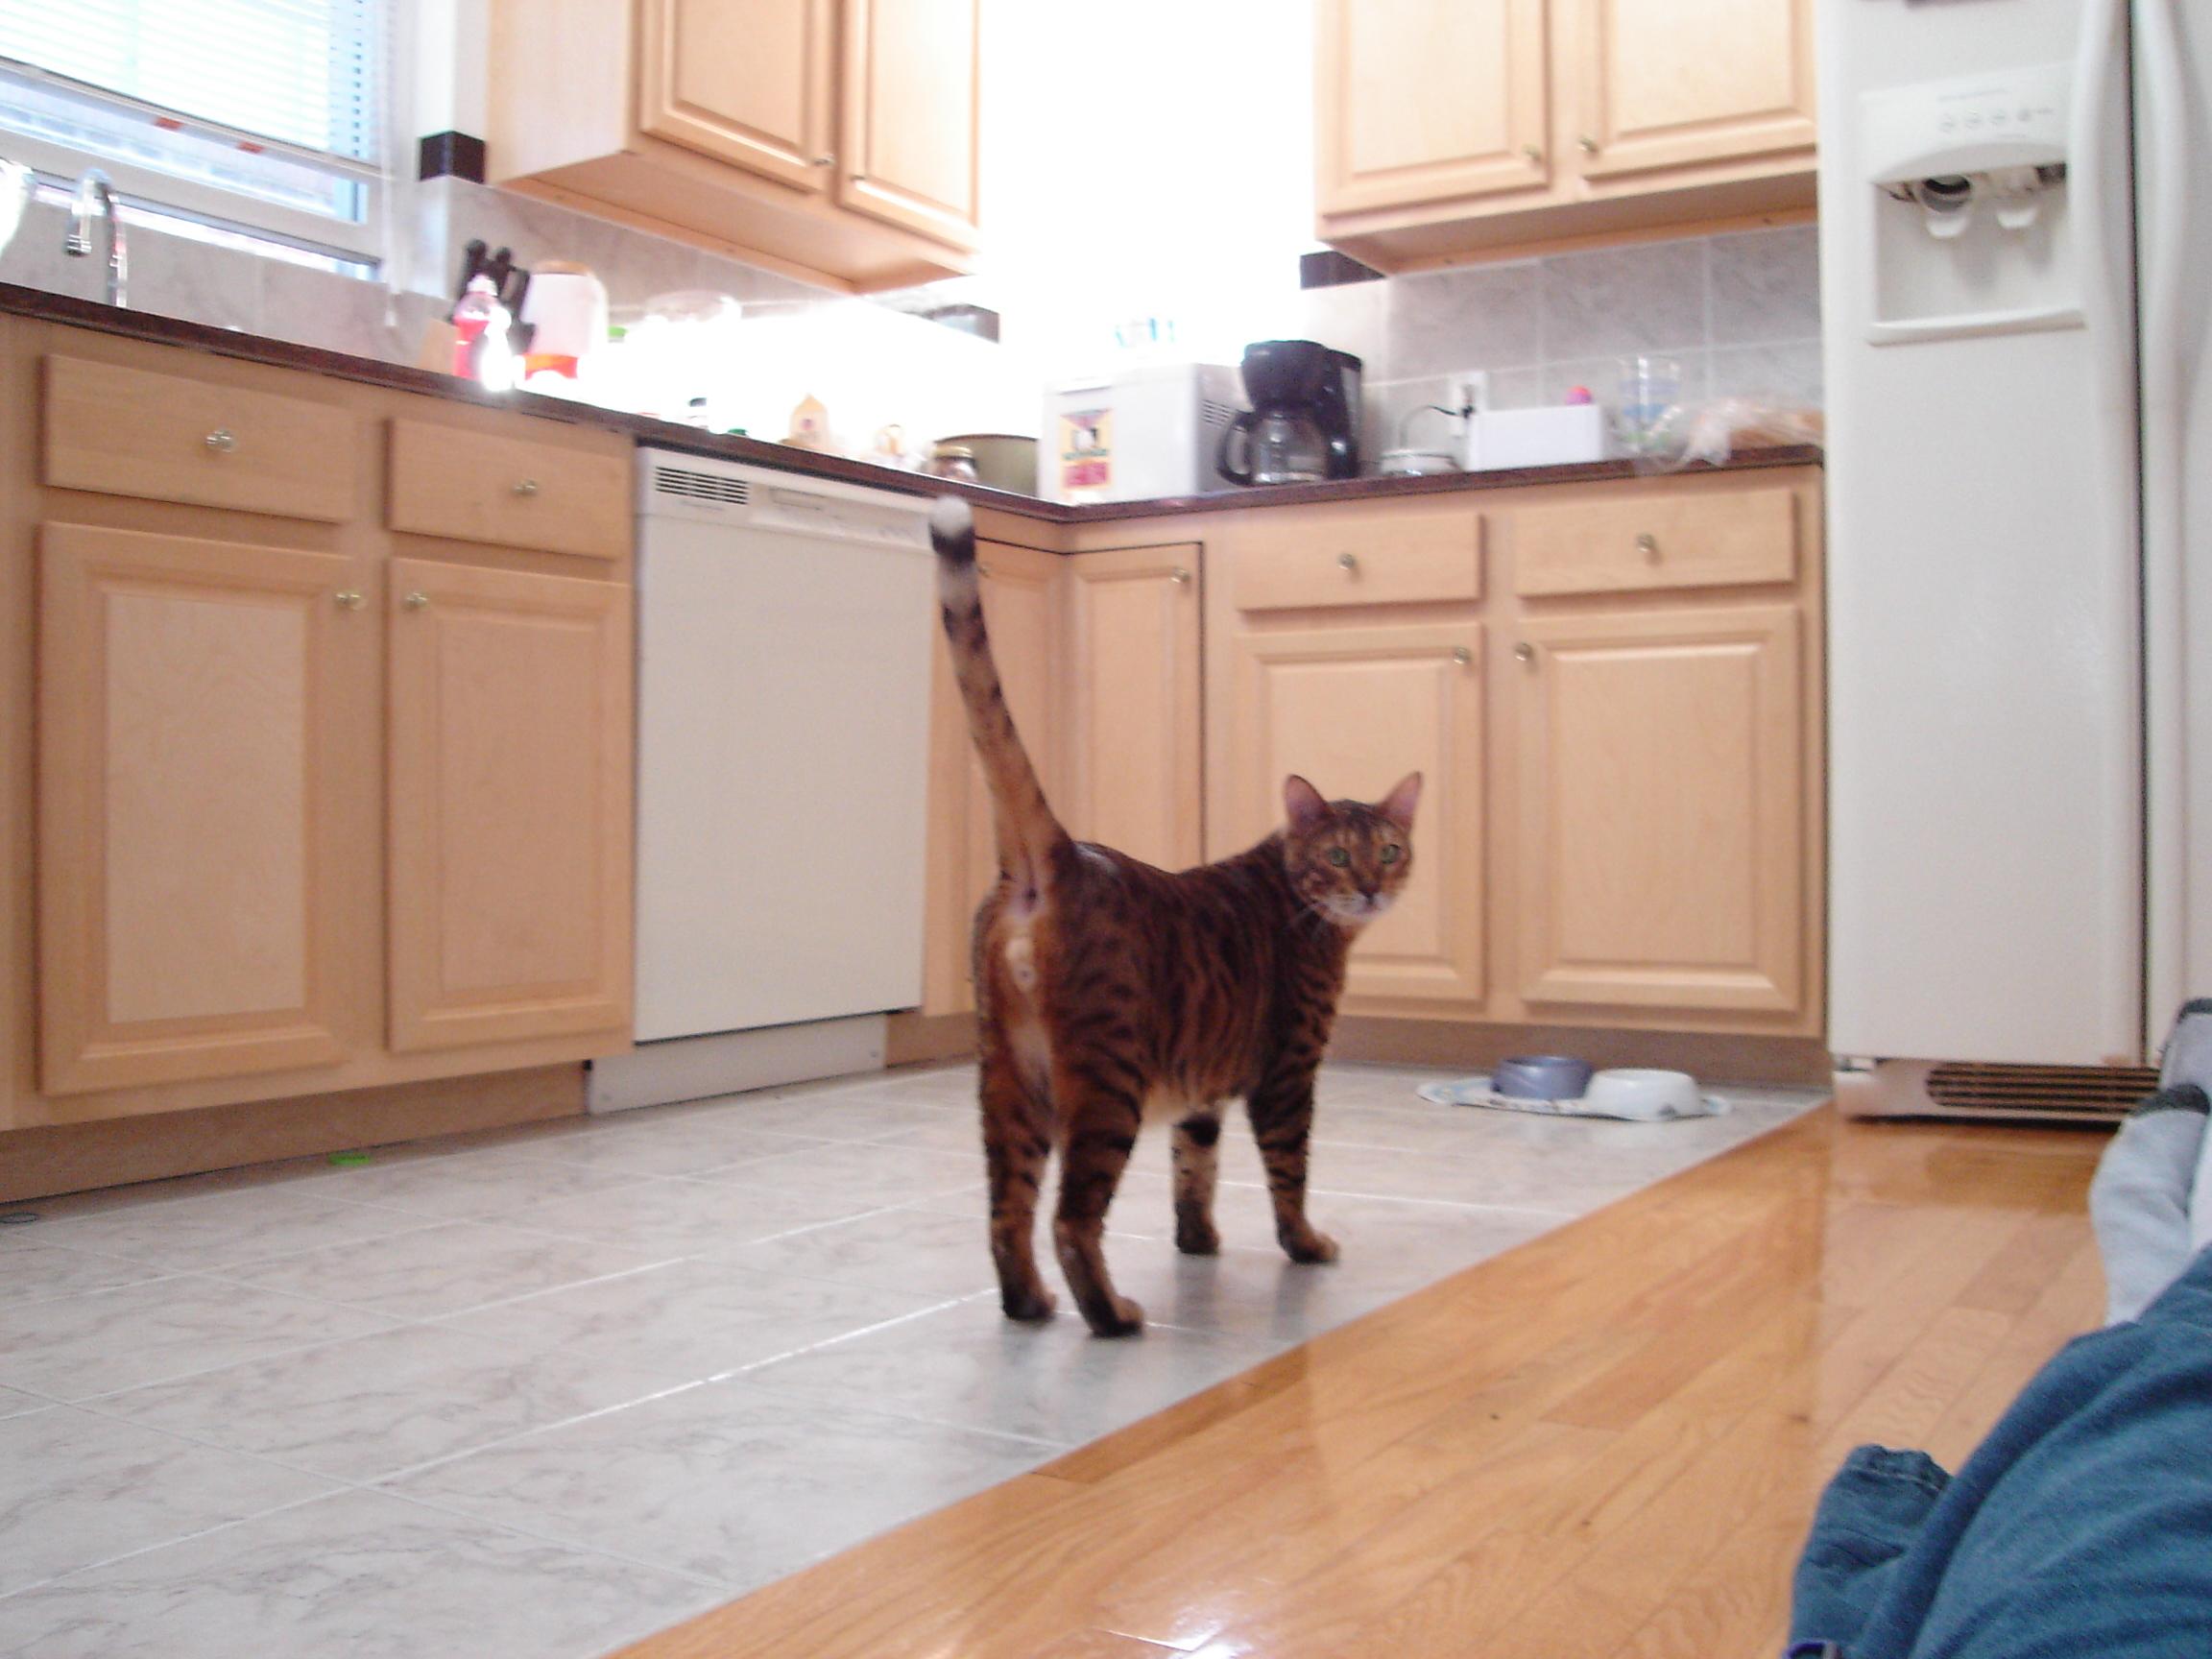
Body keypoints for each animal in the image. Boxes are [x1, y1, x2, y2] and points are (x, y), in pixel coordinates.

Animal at [930, 497, 1421, 1336]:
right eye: (1336, 856)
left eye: (1389, 851)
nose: (1368, 888)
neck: (1296, 901)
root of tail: (1058, 856)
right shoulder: (1288, 1069)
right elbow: (1289, 1172)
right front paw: (1306, 1245)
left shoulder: (1201, 1091)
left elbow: (1196, 1170)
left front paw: (1200, 1243)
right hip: (1108, 1081)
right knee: (1071, 1219)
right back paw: (1112, 1316)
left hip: (1007, 1078)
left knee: (1005, 1214)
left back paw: (1030, 1304)